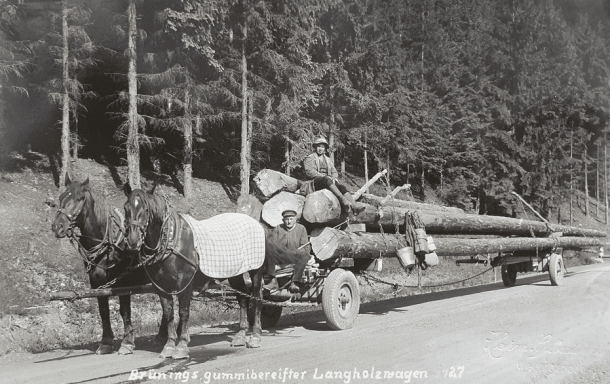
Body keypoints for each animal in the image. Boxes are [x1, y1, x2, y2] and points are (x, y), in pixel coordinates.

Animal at [51, 176, 159, 356]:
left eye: (79, 198)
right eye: (61, 197)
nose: (57, 226)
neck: (110, 245)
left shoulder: (123, 284)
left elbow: (124, 311)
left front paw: (127, 343)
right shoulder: (96, 283)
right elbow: (103, 311)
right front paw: (106, 342)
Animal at [122, 184, 270, 360]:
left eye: (146, 209)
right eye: (126, 208)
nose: (133, 241)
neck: (172, 239)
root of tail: (257, 223)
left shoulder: (185, 283)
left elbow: (183, 312)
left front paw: (181, 346)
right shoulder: (161, 287)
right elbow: (169, 314)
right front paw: (169, 346)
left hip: (255, 270)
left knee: (256, 298)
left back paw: (255, 336)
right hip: (235, 273)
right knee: (242, 298)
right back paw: (240, 335)